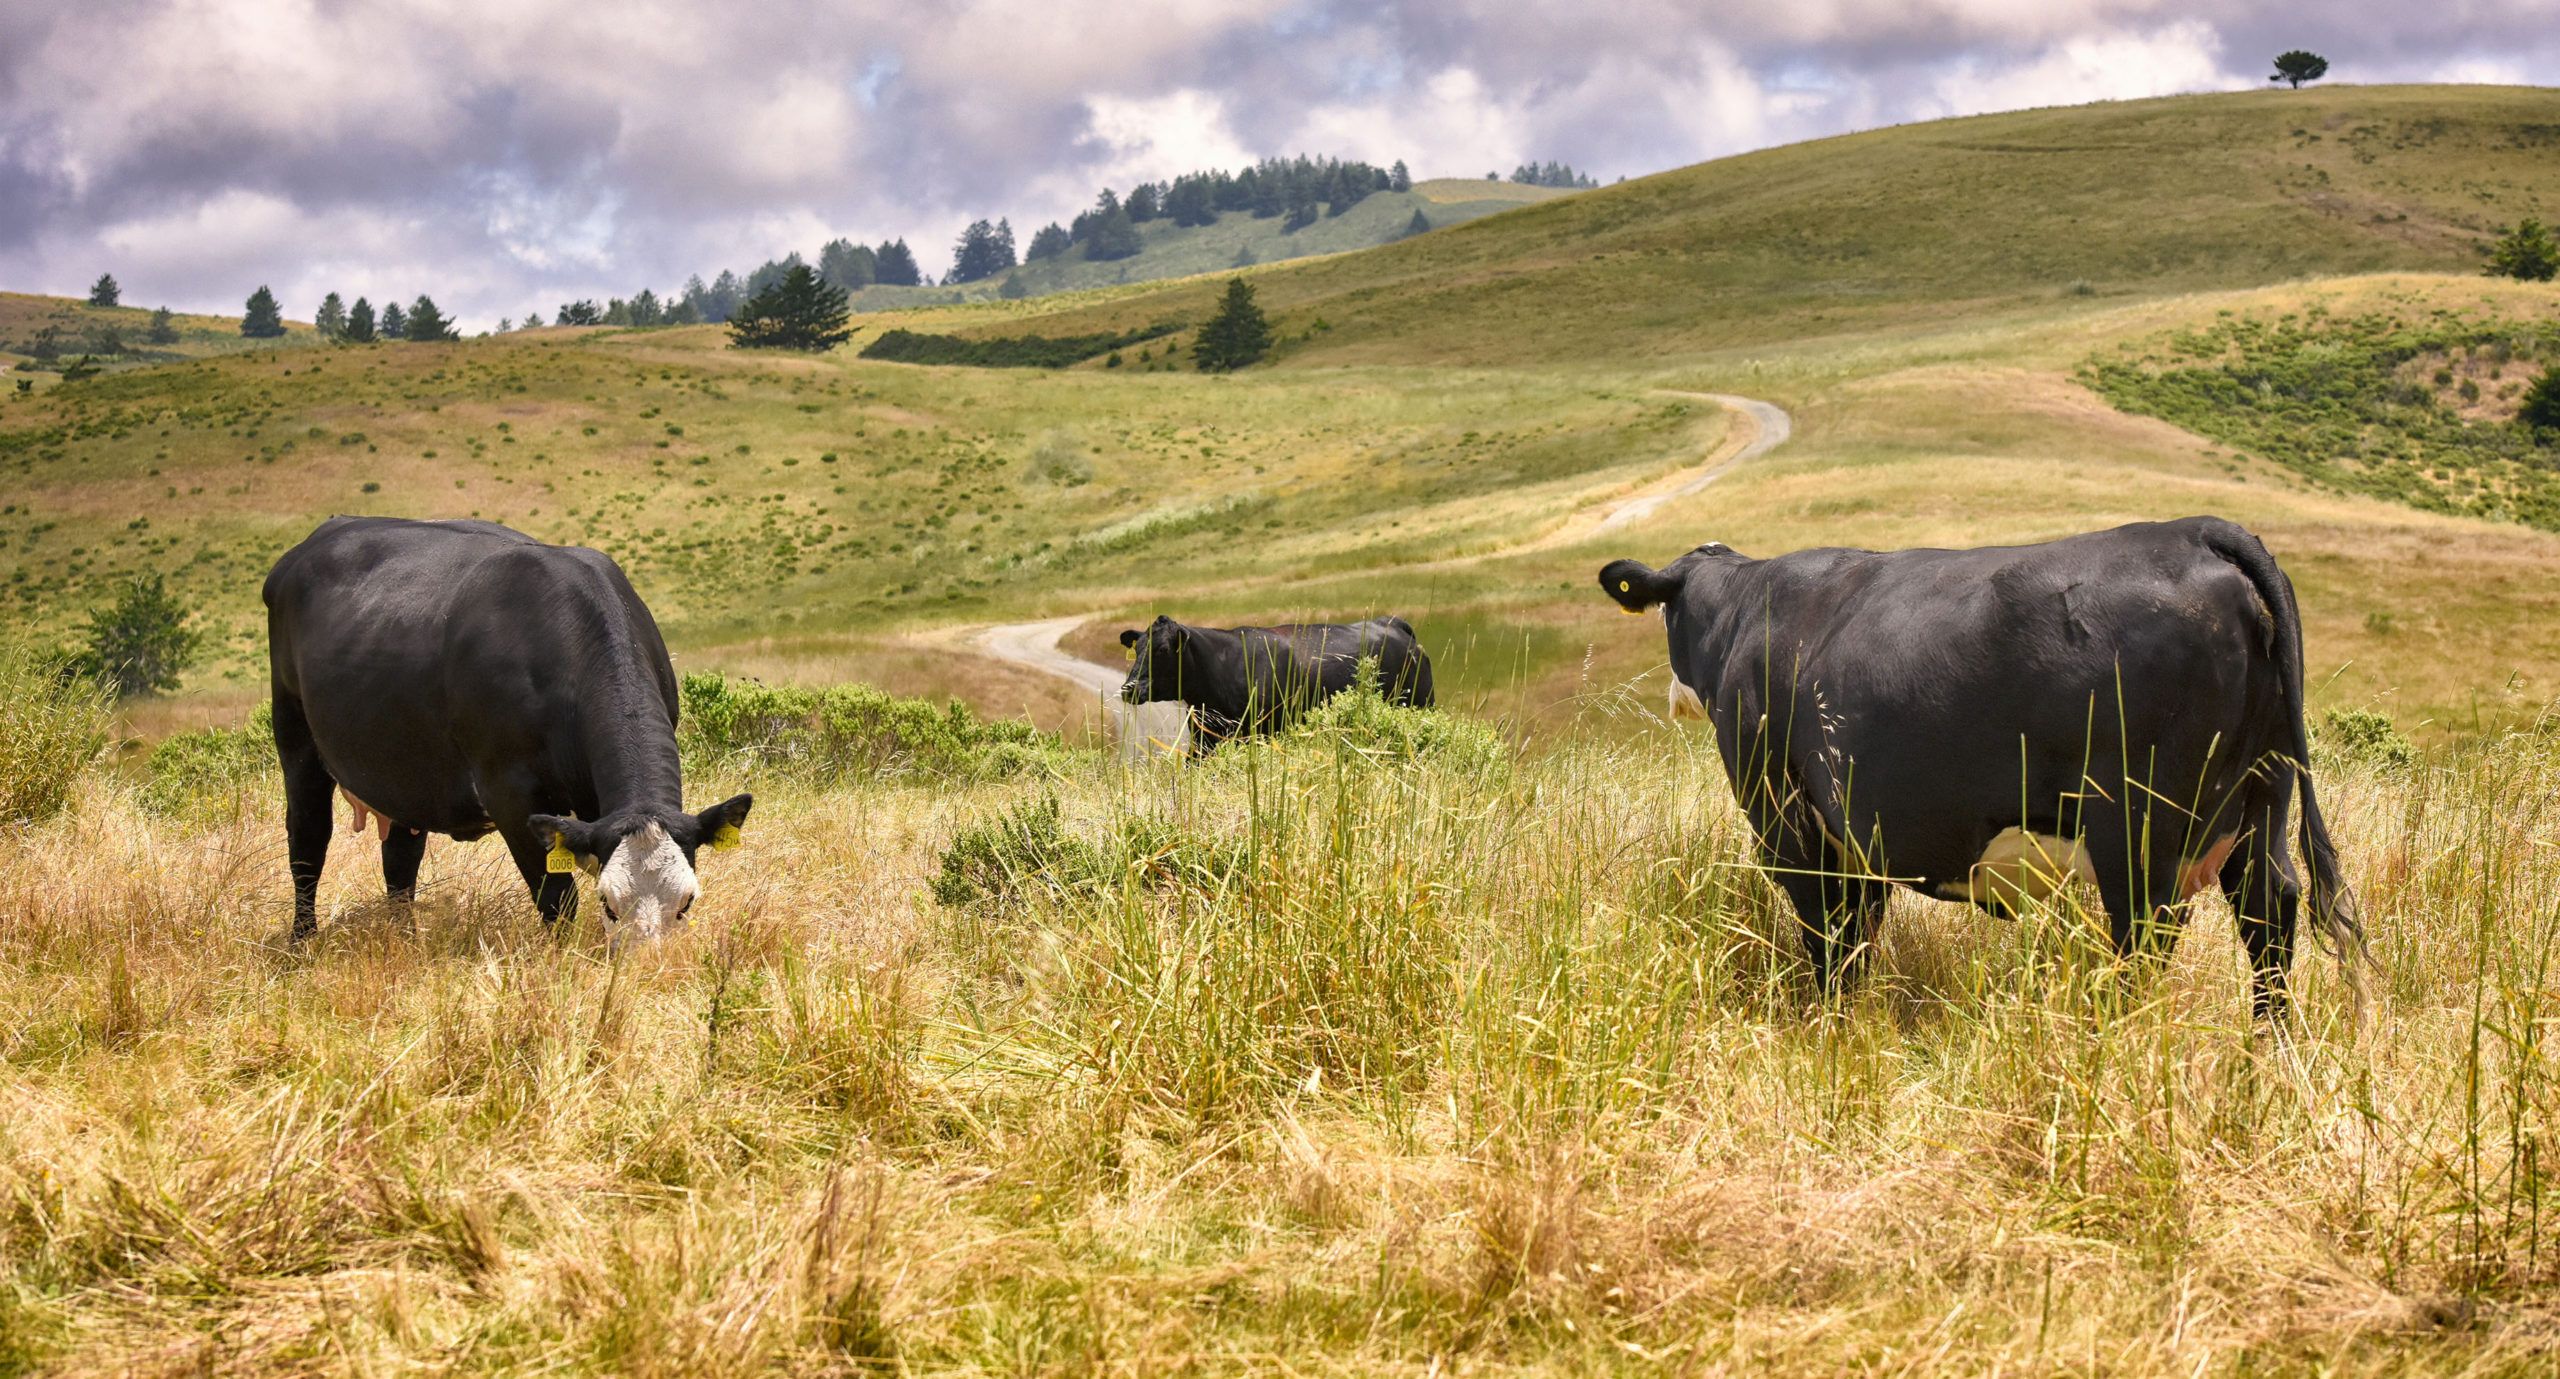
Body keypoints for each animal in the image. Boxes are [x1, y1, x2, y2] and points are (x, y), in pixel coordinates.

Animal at [266, 516, 752, 951]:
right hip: (295, 737)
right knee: (307, 844)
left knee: (400, 862)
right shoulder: (511, 795)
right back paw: (301, 944)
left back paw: (405, 942)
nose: (649, 968)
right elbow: (557, 899)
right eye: (608, 904)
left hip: (404, 771)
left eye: (686, 901)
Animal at [1121, 614, 1443, 752]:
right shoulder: (1204, 739)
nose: (1129, 688)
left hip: (1420, 703)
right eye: (1138, 648)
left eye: (1163, 650)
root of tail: (1392, 623)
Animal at [1607, 516, 2365, 1013]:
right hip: (2261, 805)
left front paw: (1827, 1030)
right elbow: (1859, 937)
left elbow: (1829, 940)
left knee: (2148, 934)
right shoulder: (1862, 836)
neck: (1745, 611)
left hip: (2138, 828)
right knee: (2271, 916)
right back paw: (2266, 1057)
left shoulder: (1788, 822)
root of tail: (2197, 529)